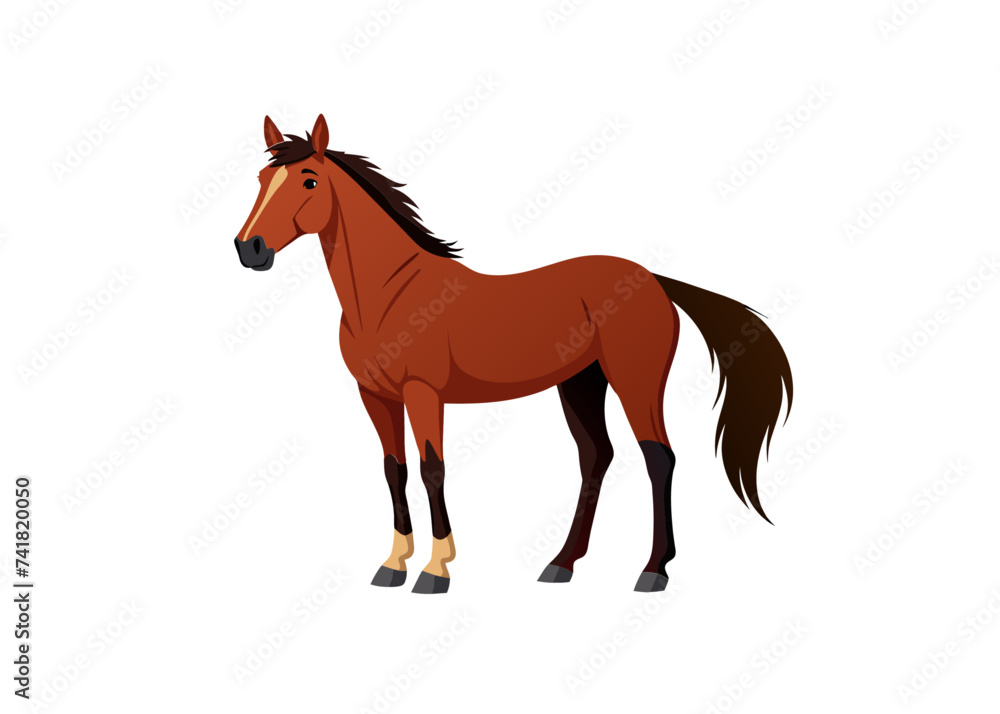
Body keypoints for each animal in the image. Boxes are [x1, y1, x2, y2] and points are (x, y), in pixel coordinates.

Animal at [233, 114, 793, 594]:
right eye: (262, 178)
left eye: (308, 181)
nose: (250, 249)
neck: (392, 294)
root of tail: (653, 279)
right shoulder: (375, 395)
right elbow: (395, 470)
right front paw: (393, 564)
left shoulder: (423, 394)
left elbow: (431, 468)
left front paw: (436, 570)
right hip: (581, 382)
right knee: (597, 457)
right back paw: (562, 564)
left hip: (634, 380)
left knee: (659, 457)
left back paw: (653, 570)